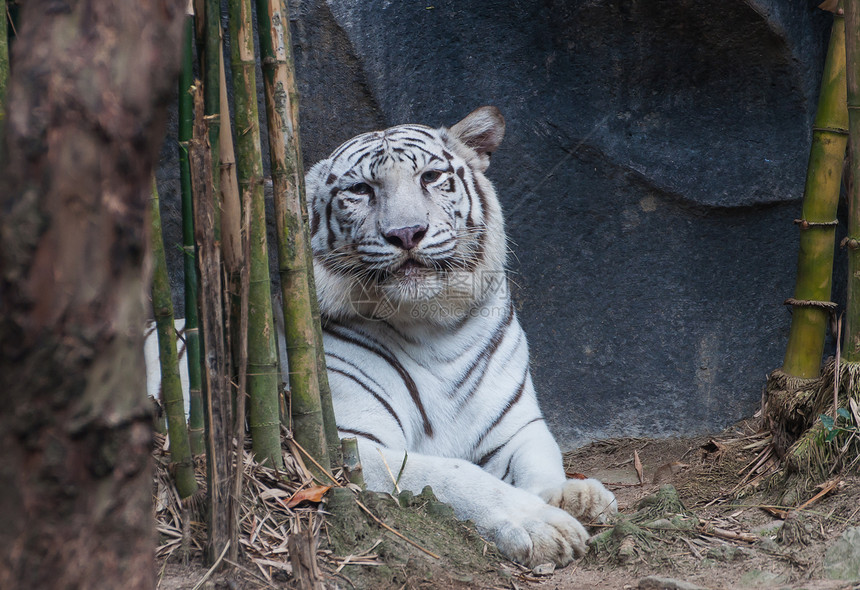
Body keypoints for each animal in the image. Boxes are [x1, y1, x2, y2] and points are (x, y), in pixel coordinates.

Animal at [306, 107, 616, 568]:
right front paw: (541, 524)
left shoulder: (514, 425)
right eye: (360, 189)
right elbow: (453, 475)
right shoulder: (350, 443)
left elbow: (542, 460)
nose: (406, 233)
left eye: (431, 177)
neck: (433, 327)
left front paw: (574, 496)